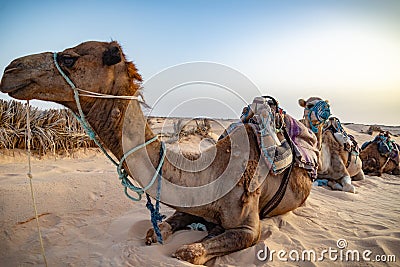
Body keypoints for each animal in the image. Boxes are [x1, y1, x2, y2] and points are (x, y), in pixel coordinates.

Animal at [0, 40, 318, 264]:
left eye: (69, 58)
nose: (10, 69)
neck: (210, 173)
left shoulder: (249, 227)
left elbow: (187, 252)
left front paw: (205, 237)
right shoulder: (187, 206)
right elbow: (156, 230)